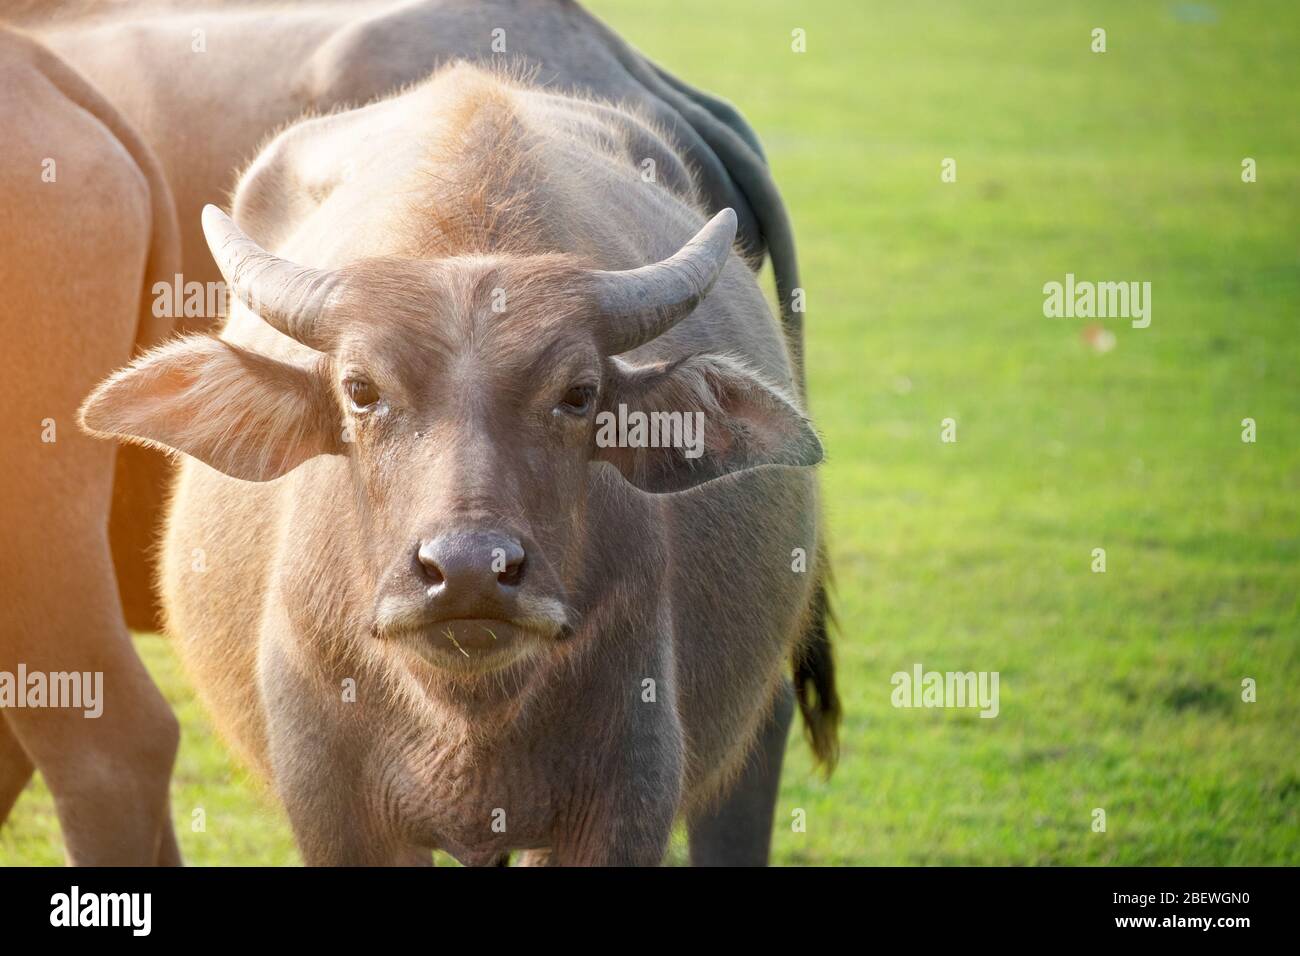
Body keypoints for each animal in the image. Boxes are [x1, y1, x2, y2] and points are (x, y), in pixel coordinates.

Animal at [81, 63, 837, 863]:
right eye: (360, 390)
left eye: (579, 395)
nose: (471, 570)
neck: (464, 716)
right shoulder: (333, 808)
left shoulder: (622, 803)